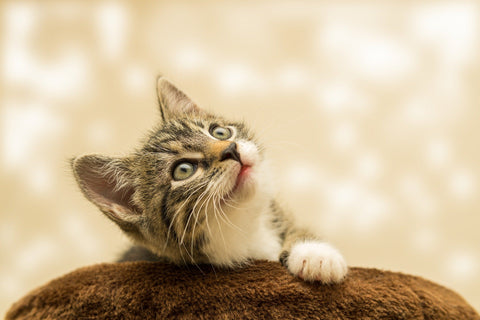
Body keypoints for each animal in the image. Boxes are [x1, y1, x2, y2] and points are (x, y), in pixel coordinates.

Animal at [70, 77, 348, 282]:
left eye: (220, 132)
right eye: (183, 170)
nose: (231, 149)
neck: (246, 230)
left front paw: (315, 254)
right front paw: (316, 258)